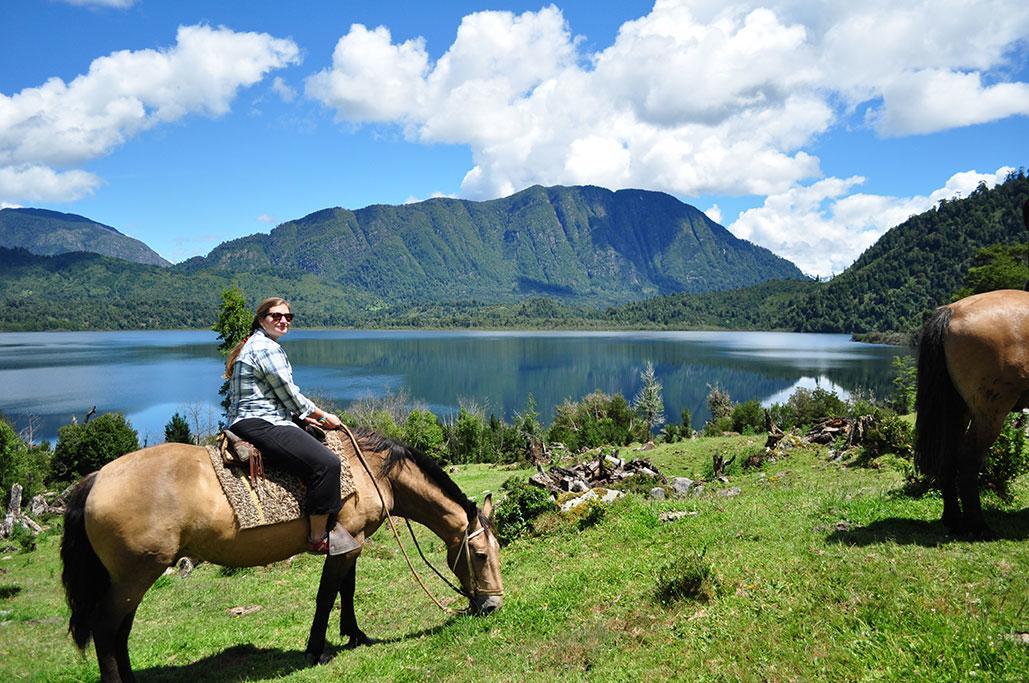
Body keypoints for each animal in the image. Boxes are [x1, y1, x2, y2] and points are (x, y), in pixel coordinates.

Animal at [60, 432, 502, 682]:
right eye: (480, 555)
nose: (493, 605)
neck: (372, 471)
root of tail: (95, 480)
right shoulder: (344, 541)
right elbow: (327, 595)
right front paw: (316, 649)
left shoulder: (353, 542)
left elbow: (346, 590)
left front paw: (355, 635)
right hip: (135, 575)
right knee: (106, 630)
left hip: (130, 578)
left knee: (118, 632)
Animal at [917, 288, 1029, 538]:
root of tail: (951, 310)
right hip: (990, 413)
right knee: (969, 460)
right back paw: (978, 526)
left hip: (957, 411)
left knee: (948, 458)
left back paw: (953, 521)